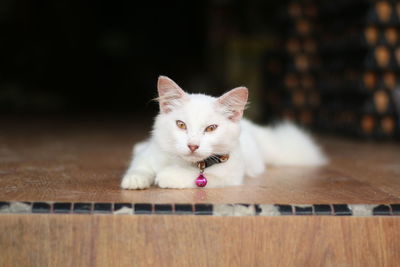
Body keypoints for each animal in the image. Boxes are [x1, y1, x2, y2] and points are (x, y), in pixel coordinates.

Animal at [120, 74, 326, 189]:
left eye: (211, 128)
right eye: (181, 125)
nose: (192, 146)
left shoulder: (228, 175)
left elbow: (199, 177)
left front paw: (168, 176)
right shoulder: (152, 152)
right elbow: (140, 165)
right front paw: (134, 180)